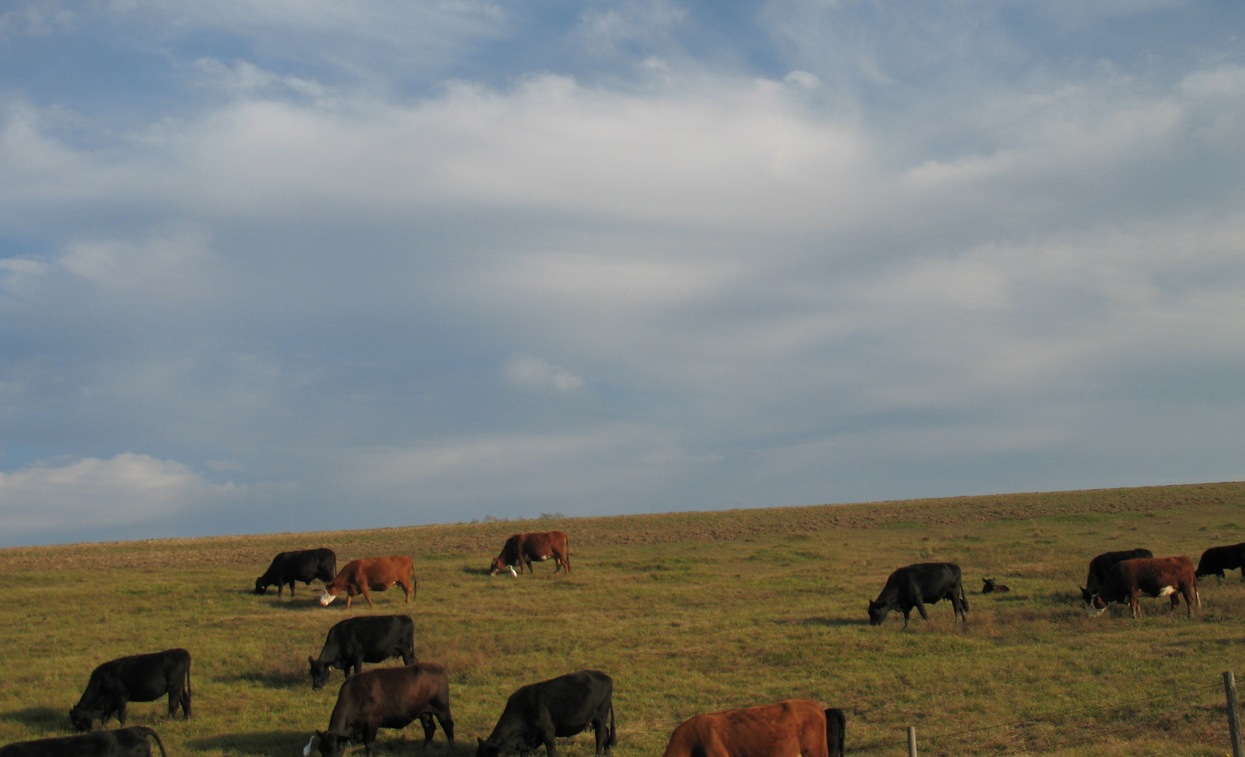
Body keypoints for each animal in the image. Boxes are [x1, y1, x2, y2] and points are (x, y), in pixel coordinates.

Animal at [304, 663, 454, 757]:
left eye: (333, 749)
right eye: (321, 750)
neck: (356, 694)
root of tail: (438, 667)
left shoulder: (373, 722)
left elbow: (369, 744)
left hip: (441, 707)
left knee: (448, 726)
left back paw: (452, 749)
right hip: (424, 712)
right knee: (429, 728)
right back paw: (424, 750)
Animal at [475, 669, 615, 757]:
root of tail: (606, 677)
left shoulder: (548, 732)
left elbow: (551, 753)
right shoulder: (526, 741)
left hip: (601, 716)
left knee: (600, 737)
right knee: (605, 732)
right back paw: (607, 753)